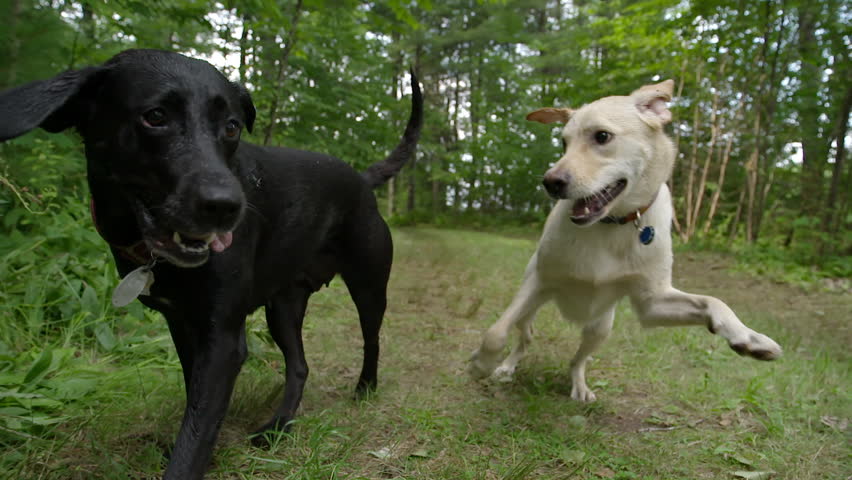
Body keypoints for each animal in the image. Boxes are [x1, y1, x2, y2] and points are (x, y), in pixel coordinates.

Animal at [0, 50, 422, 478]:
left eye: (232, 127)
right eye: (155, 116)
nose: (227, 207)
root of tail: (361, 179)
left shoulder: (223, 342)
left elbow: (194, 438)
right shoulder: (184, 326)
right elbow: (198, 409)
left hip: (369, 288)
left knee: (371, 339)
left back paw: (364, 388)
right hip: (282, 309)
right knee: (300, 366)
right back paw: (279, 426)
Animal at [470, 79, 784, 402]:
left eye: (602, 136)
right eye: (563, 143)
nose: (550, 183)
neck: (613, 224)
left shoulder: (652, 302)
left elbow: (714, 302)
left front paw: (749, 338)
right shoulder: (538, 282)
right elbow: (495, 333)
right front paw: (482, 363)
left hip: (600, 328)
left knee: (578, 360)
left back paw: (579, 385)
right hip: (531, 309)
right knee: (524, 338)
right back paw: (506, 367)